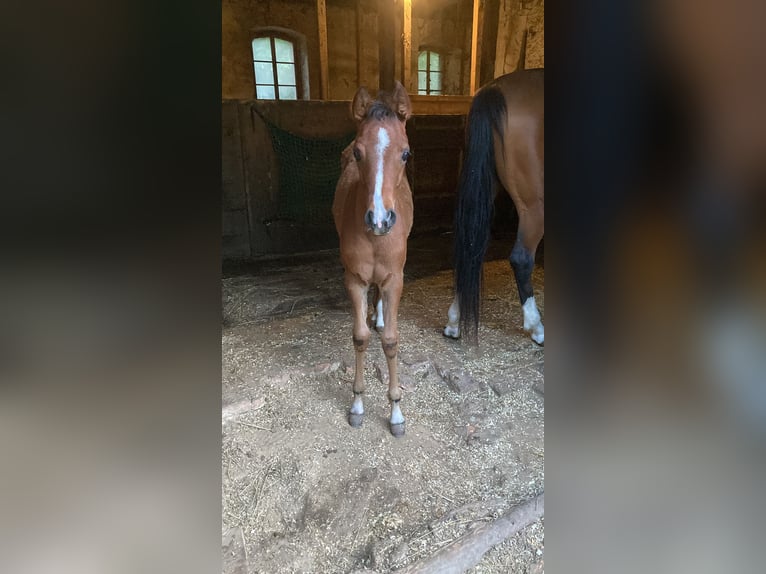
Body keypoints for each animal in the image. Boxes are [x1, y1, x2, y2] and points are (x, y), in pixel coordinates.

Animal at [443, 69, 544, 345]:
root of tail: (495, 90)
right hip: (534, 204)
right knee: (521, 259)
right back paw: (537, 328)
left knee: (469, 251)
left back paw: (453, 323)